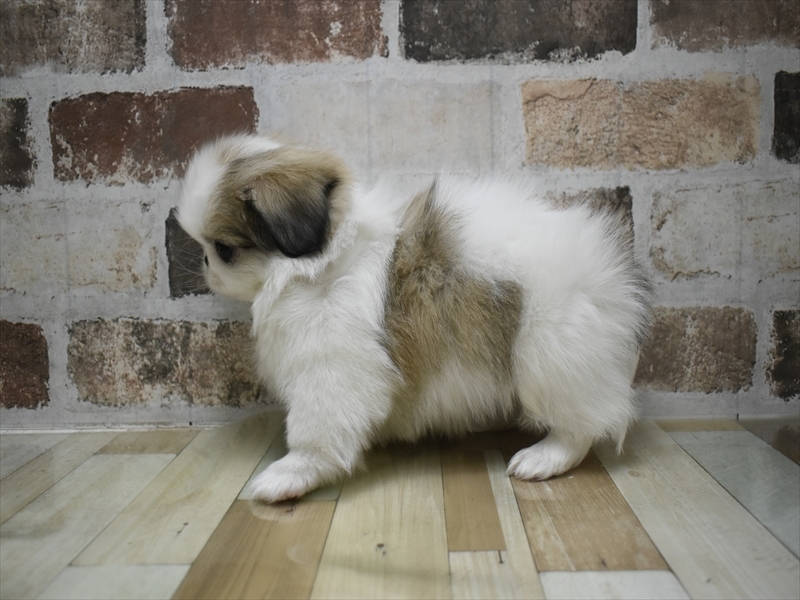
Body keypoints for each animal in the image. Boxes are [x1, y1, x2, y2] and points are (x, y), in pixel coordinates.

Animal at [177, 134, 653, 503]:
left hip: (552, 359)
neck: (321, 264)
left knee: (581, 427)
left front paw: (289, 475)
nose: (204, 265)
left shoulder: (330, 368)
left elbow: (314, 433)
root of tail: (613, 278)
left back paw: (543, 458)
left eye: (224, 249)